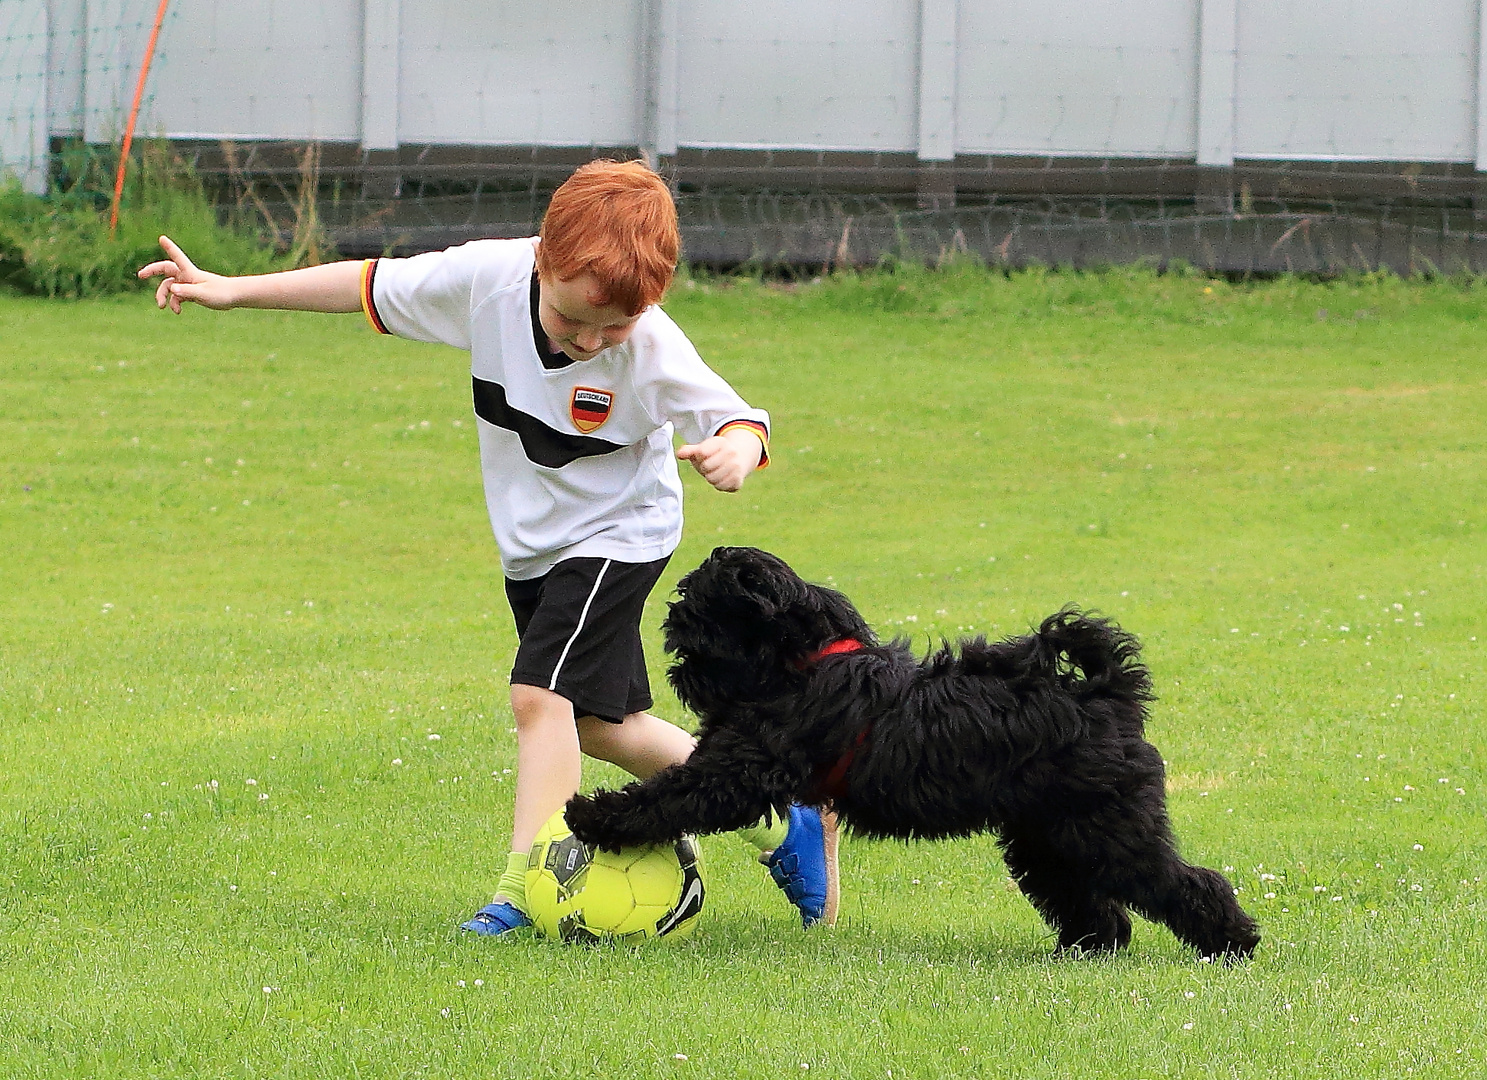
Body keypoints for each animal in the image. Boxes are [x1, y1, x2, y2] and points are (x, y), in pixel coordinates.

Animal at [562, 544, 1260, 958]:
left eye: (697, 600)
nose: (672, 622)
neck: (803, 661)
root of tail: (1106, 695)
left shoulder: (736, 771)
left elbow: (667, 796)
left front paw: (591, 816)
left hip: (1108, 829)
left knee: (1187, 882)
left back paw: (1232, 941)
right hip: (1047, 837)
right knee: (1092, 902)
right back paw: (1086, 950)